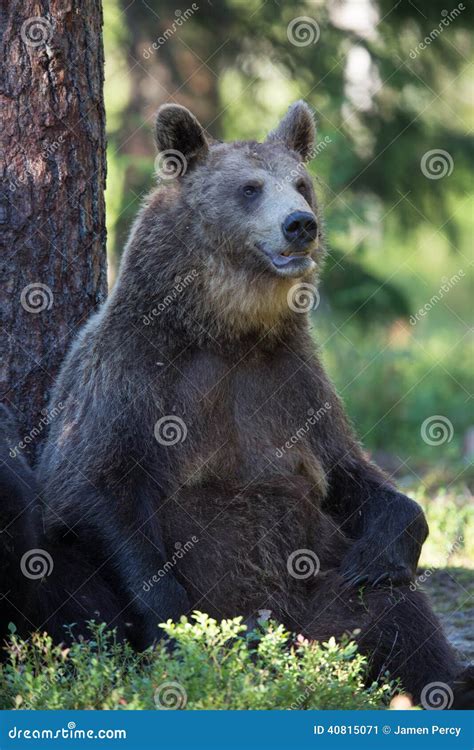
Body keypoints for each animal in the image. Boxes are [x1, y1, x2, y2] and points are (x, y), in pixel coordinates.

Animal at [29, 101, 470, 704]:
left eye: (302, 183)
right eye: (250, 188)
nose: (300, 224)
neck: (228, 331)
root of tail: (294, 647)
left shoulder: (291, 380)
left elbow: (348, 470)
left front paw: (381, 550)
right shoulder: (130, 372)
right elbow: (88, 485)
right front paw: (177, 625)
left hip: (323, 591)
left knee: (397, 613)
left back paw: (442, 676)